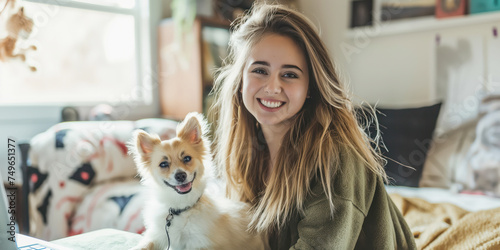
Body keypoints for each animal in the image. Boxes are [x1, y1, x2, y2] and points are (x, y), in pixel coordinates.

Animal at [129, 113, 270, 250]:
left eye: (187, 158)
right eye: (163, 164)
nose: (180, 175)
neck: (181, 209)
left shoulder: (203, 243)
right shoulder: (157, 235)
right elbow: (145, 245)